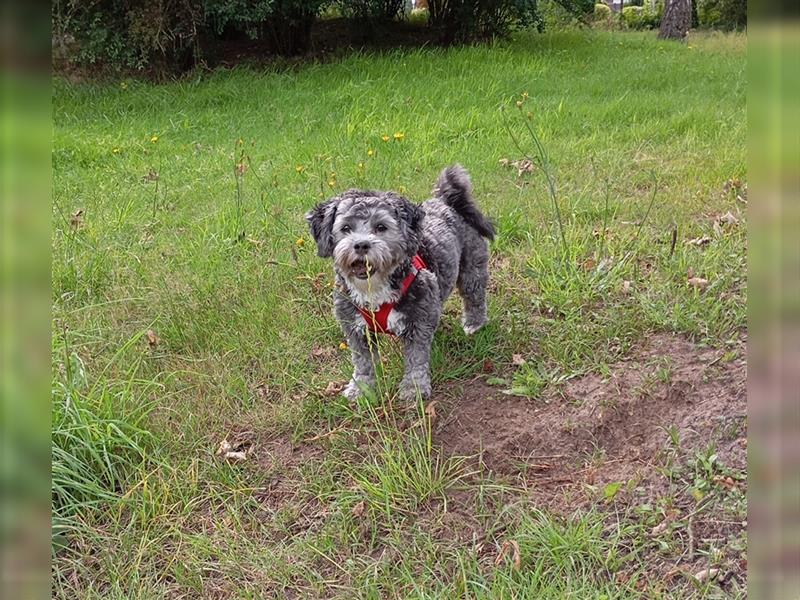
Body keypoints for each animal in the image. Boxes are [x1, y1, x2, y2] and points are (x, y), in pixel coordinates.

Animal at [306, 164, 494, 400]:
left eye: (381, 227)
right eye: (346, 228)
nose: (361, 245)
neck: (374, 291)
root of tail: (446, 201)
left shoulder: (418, 321)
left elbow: (416, 359)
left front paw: (414, 389)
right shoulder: (354, 326)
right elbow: (363, 361)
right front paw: (361, 388)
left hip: (472, 270)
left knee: (474, 297)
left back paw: (474, 324)